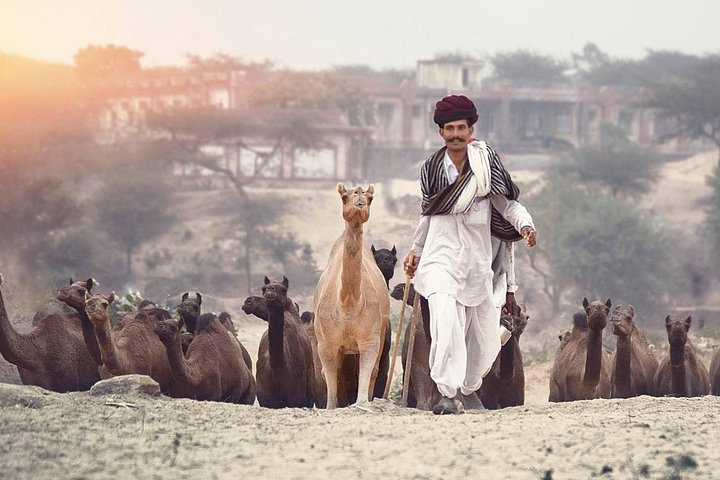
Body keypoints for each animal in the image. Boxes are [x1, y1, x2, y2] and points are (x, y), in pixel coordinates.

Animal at [314, 184, 390, 408]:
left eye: (371, 198)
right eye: (344, 196)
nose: (360, 197)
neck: (348, 306)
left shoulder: (370, 338)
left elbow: (368, 372)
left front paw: (363, 403)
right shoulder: (325, 343)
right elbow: (329, 376)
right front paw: (333, 405)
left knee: (374, 371)